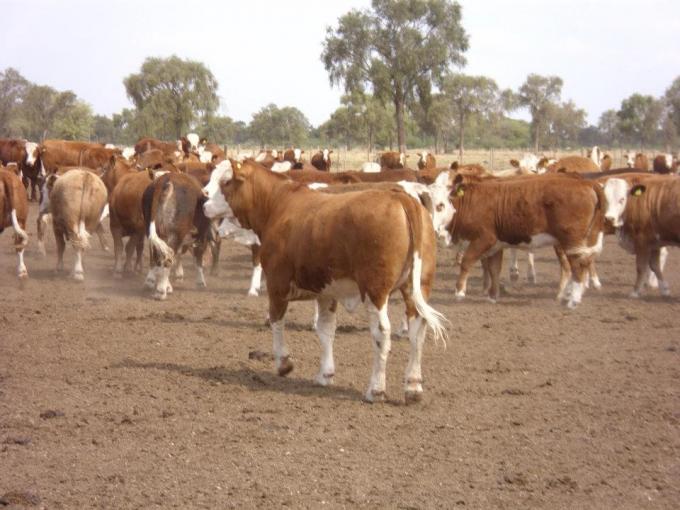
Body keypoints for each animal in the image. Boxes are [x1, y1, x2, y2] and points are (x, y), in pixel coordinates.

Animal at [199, 159, 448, 402]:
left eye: (225, 181)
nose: (204, 204)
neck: (278, 204)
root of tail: (402, 199)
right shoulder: (326, 293)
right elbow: (326, 329)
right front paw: (325, 374)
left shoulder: (277, 285)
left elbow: (276, 320)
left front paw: (283, 363)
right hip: (416, 287)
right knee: (417, 330)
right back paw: (413, 386)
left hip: (375, 290)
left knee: (381, 332)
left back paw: (376, 389)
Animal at [446, 173, 604, 306]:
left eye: (447, 194)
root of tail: (585, 183)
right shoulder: (496, 245)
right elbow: (494, 269)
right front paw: (492, 296)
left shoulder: (483, 239)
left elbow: (467, 262)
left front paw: (459, 293)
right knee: (579, 264)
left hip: (571, 241)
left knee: (578, 265)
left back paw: (572, 300)